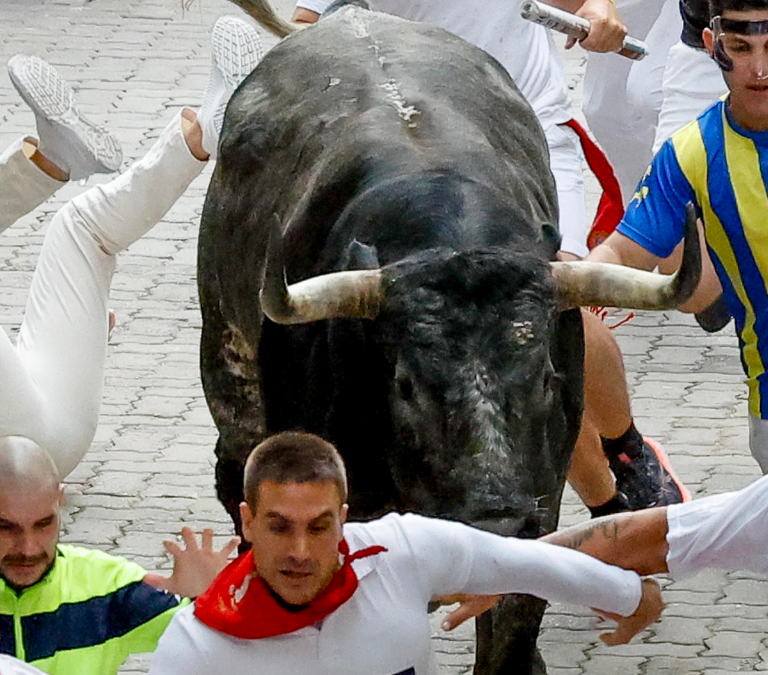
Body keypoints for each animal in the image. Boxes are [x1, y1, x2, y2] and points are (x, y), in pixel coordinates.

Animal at [198, 2, 704, 672]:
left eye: (546, 379)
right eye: (405, 387)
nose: (494, 524)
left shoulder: (539, 508)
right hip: (228, 369)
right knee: (235, 468)